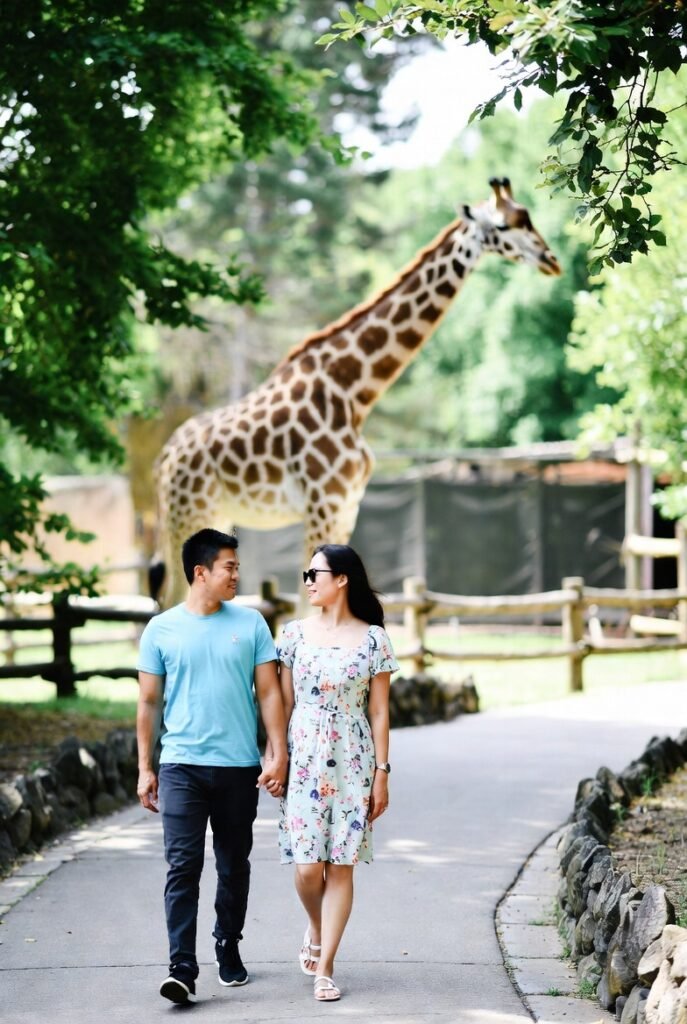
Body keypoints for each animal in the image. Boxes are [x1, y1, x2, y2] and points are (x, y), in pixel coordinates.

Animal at [153, 178, 561, 604]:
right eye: (503, 226)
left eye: (528, 216)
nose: (551, 259)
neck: (354, 393)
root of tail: (165, 457)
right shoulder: (323, 504)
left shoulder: (348, 506)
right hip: (188, 512)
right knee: (170, 595)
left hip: (212, 513)